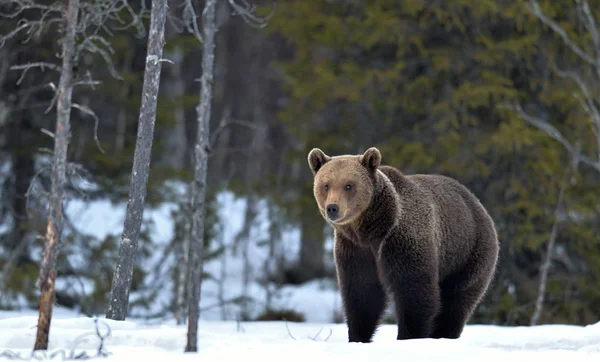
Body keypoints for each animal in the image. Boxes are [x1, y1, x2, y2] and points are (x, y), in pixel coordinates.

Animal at [308, 146, 500, 342]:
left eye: (348, 185)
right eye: (326, 185)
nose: (332, 208)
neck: (371, 229)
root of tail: (478, 205)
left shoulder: (402, 241)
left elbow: (414, 292)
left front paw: (409, 336)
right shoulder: (356, 249)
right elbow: (362, 294)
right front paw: (358, 336)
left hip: (468, 252)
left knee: (457, 300)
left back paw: (443, 334)